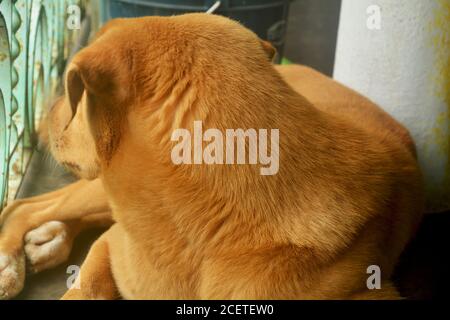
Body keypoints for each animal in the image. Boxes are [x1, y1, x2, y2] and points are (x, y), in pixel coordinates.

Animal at [0, 13, 422, 298]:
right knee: (25, 206)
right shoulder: (112, 243)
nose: (47, 115)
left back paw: (48, 239)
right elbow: (85, 286)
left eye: (73, 88)